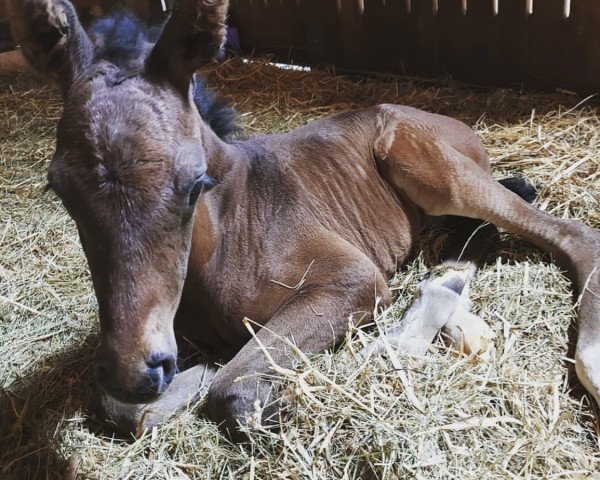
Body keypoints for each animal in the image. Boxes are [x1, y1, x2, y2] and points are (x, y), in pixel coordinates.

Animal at [9, 0, 600, 442]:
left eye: (196, 184)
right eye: (59, 189)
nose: (135, 371)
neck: (229, 234)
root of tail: (450, 120)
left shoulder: (350, 279)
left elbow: (232, 387)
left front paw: (258, 400)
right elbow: (126, 411)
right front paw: (189, 377)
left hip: (431, 168)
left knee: (569, 233)